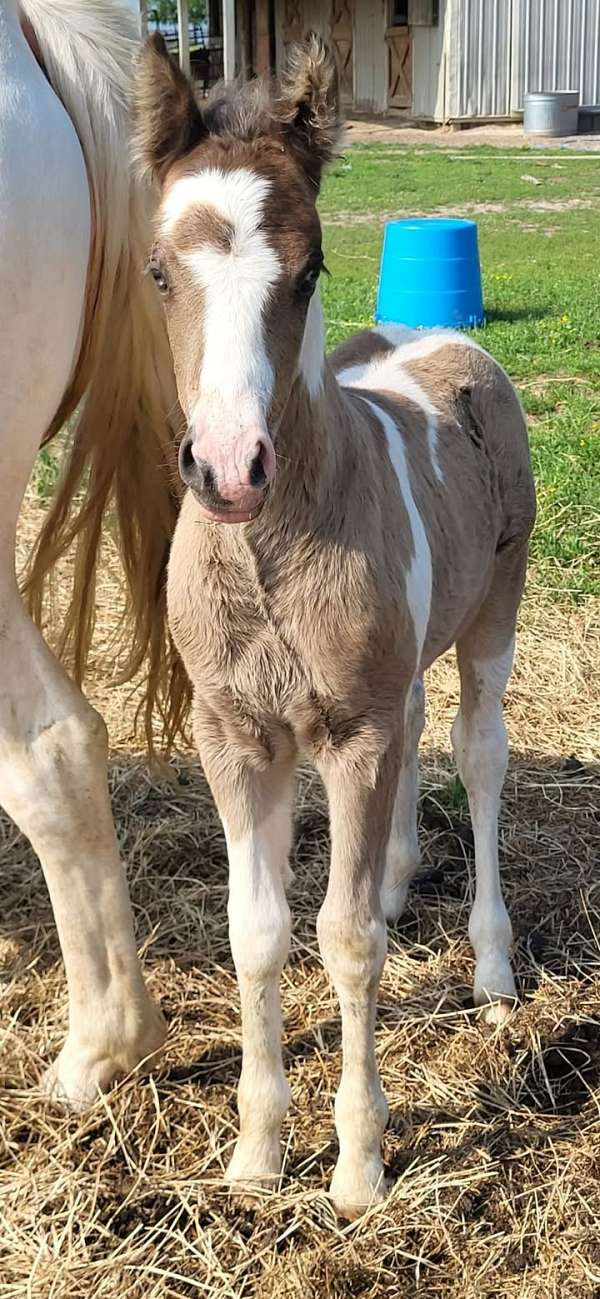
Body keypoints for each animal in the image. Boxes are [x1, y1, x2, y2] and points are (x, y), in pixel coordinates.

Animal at [134, 32, 536, 1217]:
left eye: (308, 268)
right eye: (159, 271)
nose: (229, 469)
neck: (270, 556)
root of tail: (443, 336)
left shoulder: (350, 736)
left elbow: (345, 940)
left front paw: (358, 1165)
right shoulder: (236, 735)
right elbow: (258, 934)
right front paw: (258, 1150)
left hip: (493, 618)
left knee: (475, 753)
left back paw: (490, 963)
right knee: (419, 732)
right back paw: (401, 876)